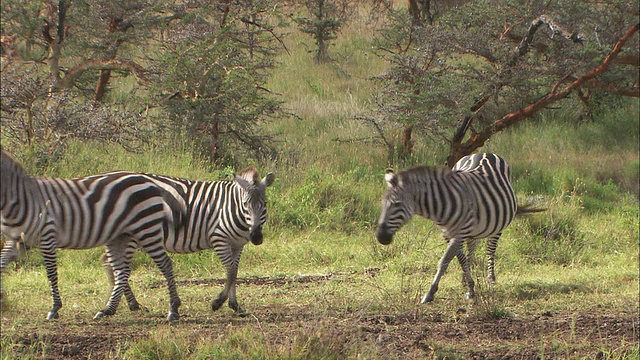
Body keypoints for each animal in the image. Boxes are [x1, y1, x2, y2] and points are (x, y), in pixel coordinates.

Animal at [0, 150, 185, 320]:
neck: (20, 198)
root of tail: (148, 180)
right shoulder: (17, 241)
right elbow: (2, 263)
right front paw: (3, 301)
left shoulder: (47, 235)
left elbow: (51, 273)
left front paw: (55, 308)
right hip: (121, 235)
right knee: (121, 270)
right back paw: (109, 310)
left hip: (146, 229)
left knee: (165, 264)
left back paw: (173, 309)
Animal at [102, 167, 276, 316]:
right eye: (245, 204)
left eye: (265, 204)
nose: (256, 237)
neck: (233, 208)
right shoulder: (219, 239)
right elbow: (231, 271)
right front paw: (218, 303)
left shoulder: (237, 245)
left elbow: (235, 272)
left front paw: (235, 305)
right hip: (132, 234)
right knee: (114, 264)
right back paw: (127, 303)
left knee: (110, 262)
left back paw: (131, 304)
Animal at [376, 153, 540, 304]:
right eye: (382, 204)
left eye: (397, 204)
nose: (380, 237)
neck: (441, 207)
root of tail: (485, 153)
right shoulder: (449, 235)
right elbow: (460, 259)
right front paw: (469, 286)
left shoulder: (460, 234)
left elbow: (444, 261)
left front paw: (430, 293)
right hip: (476, 228)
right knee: (471, 248)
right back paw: (465, 278)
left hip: (498, 224)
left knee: (490, 249)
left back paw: (491, 277)